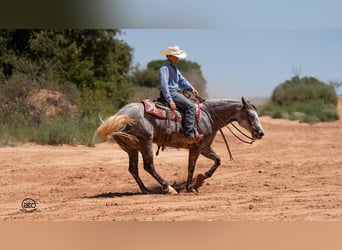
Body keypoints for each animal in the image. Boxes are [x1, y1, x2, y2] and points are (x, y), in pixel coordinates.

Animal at [95, 96, 266, 194]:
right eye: (250, 115)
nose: (260, 133)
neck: (209, 115)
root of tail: (120, 115)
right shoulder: (196, 147)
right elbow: (191, 166)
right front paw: (191, 186)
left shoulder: (204, 147)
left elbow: (218, 160)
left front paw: (202, 178)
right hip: (145, 144)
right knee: (148, 166)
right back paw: (168, 188)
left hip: (132, 148)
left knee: (133, 169)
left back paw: (146, 190)